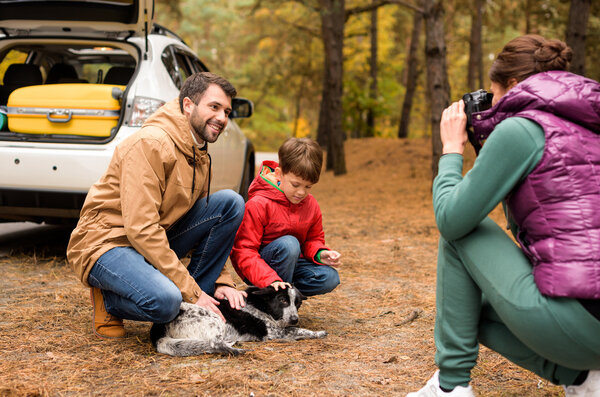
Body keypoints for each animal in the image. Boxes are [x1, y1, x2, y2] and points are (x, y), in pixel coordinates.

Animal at [150, 284, 328, 356]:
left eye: (297, 303)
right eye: (282, 300)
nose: (294, 319)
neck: (262, 305)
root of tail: (158, 329)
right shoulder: (274, 333)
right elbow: (298, 330)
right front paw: (318, 333)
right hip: (216, 319)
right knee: (214, 344)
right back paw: (236, 351)